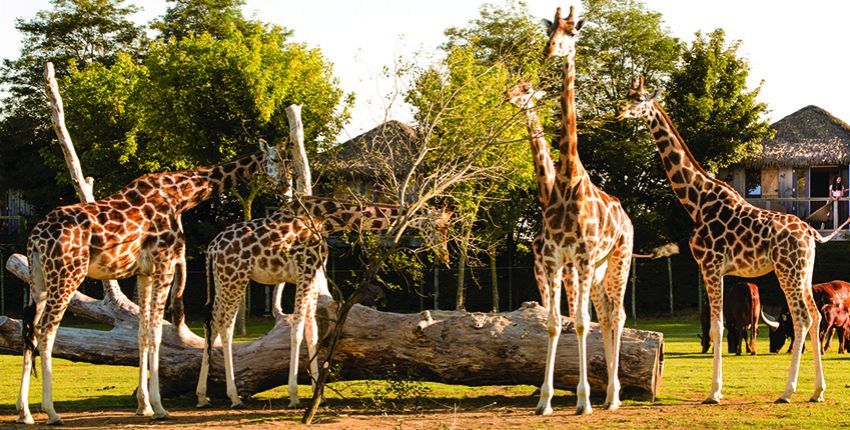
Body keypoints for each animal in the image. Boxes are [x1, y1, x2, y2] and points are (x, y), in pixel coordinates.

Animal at [15, 142, 285, 425]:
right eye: (277, 159)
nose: (285, 185)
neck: (181, 196)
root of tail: (35, 238)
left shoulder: (144, 273)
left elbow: (142, 333)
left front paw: (143, 405)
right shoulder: (164, 264)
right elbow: (156, 333)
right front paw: (159, 407)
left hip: (38, 280)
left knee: (30, 329)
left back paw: (25, 413)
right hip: (67, 274)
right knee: (46, 331)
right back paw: (51, 412)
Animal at [195, 196, 451, 409]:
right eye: (440, 227)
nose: (446, 258)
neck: (327, 220)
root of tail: (212, 248)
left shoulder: (314, 274)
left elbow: (313, 331)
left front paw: (319, 392)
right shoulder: (305, 272)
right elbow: (297, 329)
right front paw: (294, 395)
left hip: (222, 279)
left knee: (212, 325)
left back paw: (202, 396)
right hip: (236, 277)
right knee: (226, 328)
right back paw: (234, 396)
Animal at [618, 76, 850, 404]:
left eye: (639, 100)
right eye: (629, 95)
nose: (620, 112)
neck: (697, 201)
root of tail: (812, 233)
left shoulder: (710, 265)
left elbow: (716, 327)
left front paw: (714, 392)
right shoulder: (717, 268)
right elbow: (722, 327)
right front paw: (717, 389)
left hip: (787, 271)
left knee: (802, 318)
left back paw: (787, 392)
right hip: (804, 272)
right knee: (815, 317)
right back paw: (817, 391)